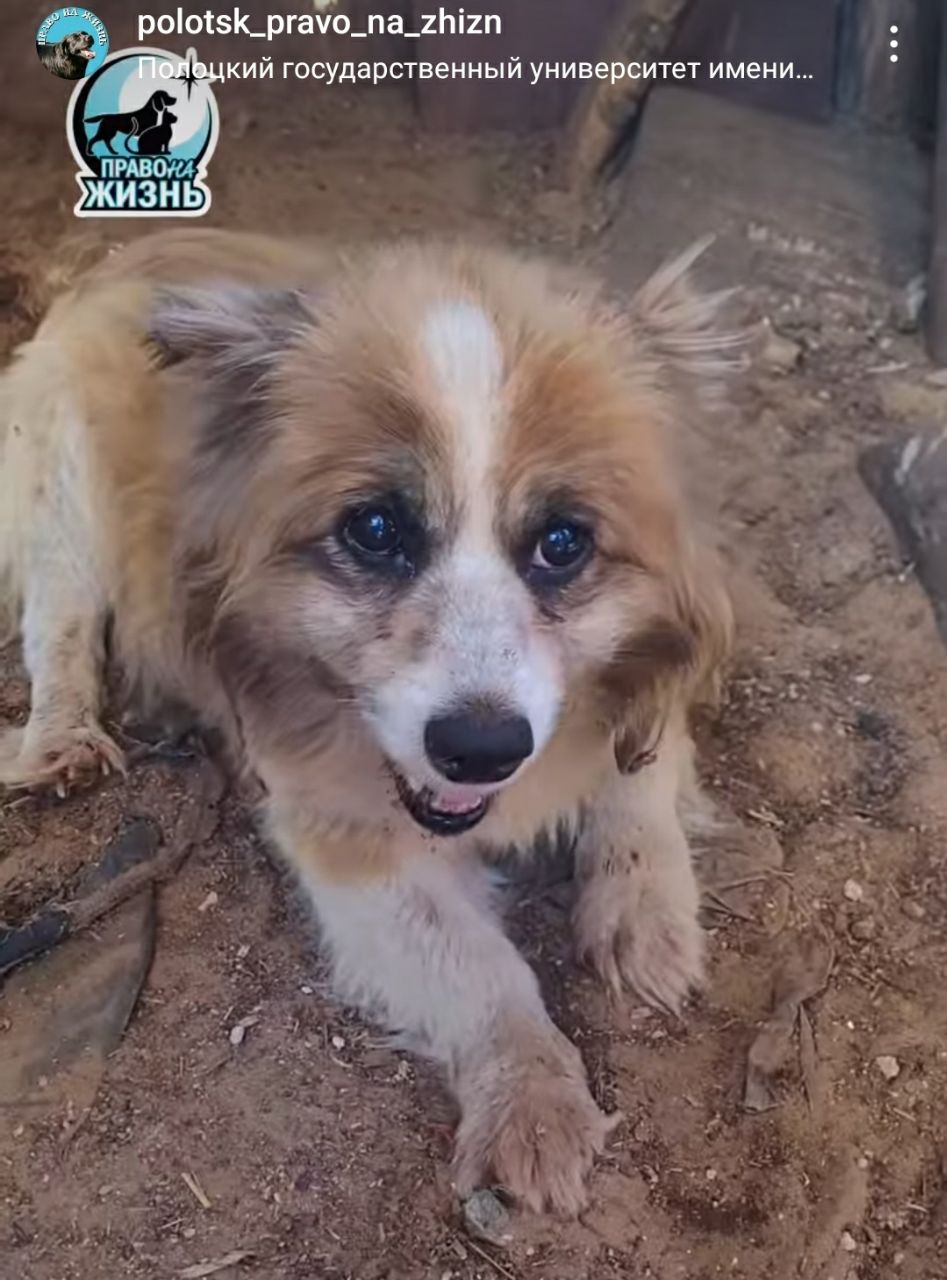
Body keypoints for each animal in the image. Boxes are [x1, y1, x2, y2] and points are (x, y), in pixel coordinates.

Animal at [0, 230, 742, 1208]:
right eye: (376, 529)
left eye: (562, 542)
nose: (480, 749)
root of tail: (127, 249)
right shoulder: (346, 839)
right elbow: (483, 970)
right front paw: (533, 1099)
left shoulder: (644, 700)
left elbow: (638, 788)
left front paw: (644, 916)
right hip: (65, 496)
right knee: (61, 619)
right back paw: (64, 740)